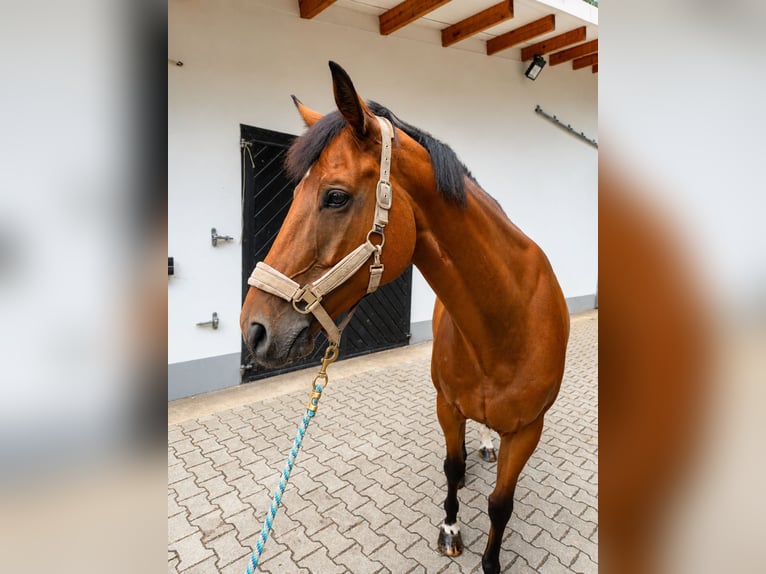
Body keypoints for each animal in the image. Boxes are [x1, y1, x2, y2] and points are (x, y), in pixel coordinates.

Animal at [240, 62, 570, 573]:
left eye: (335, 197)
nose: (253, 329)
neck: (504, 327)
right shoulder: (447, 406)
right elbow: (452, 468)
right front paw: (450, 529)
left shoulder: (528, 430)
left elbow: (501, 503)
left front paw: (491, 560)